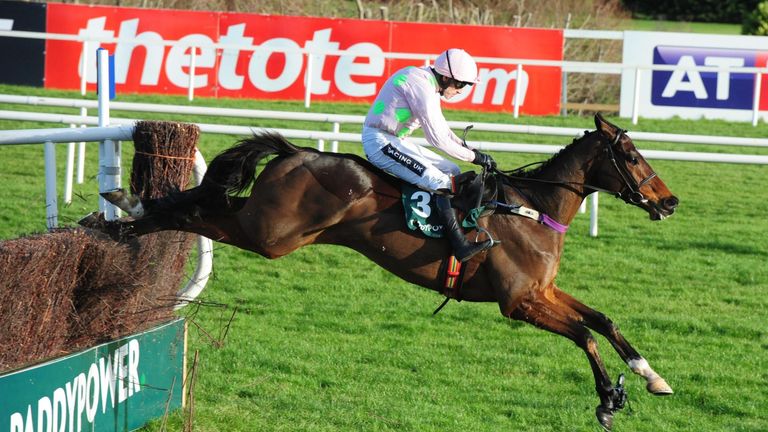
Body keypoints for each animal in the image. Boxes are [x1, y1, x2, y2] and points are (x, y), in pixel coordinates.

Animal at [84, 113, 680, 430]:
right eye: (631, 154)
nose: (669, 202)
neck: (532, 208)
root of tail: (295, 151)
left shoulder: (543, 290)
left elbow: (602, 320)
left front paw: (651, 376)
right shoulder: (519, 302)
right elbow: (584, 334)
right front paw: (607, 400)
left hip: (269, 227)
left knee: (206, 205)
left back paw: (125, 212)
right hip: (268, 234)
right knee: (197, 213)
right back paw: (127, 215)